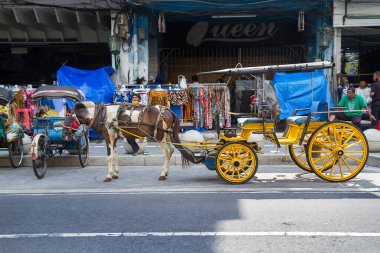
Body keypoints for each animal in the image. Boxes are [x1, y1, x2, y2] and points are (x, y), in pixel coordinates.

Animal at [61, 101, 202, 182]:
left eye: (69, 119)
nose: (64, 135)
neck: (102, 115)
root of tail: (168, 110)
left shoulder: (109, 137)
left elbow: (109, 157)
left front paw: (109, 176)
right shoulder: (115, 139)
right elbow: (115, 156)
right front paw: (115, 174)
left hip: (160, 136)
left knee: (167, 152)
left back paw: (162, 174)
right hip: (166, 136)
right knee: (171, 150)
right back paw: (166, 173)